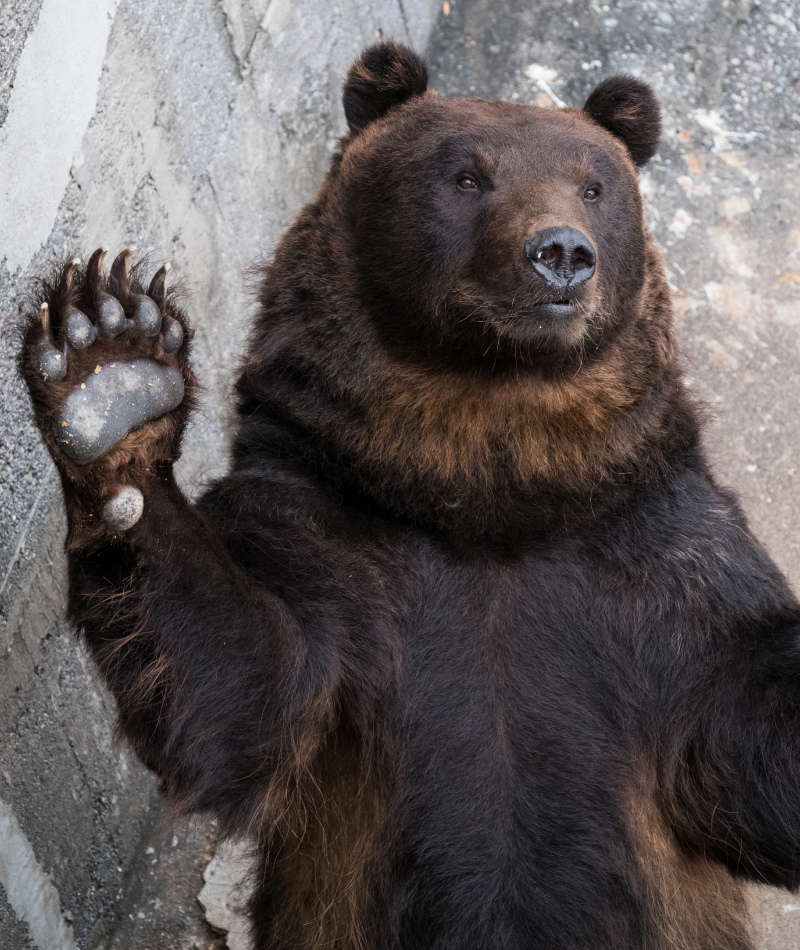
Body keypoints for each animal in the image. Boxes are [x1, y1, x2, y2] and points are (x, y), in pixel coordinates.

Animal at [15, 41, 800, 950]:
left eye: (593, 186)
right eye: (466, 176)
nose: (562, 253)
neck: (487, 479)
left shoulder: (657, 549)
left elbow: (746, 732)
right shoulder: (332, 524)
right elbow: (246, 691)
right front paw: (111, 366)